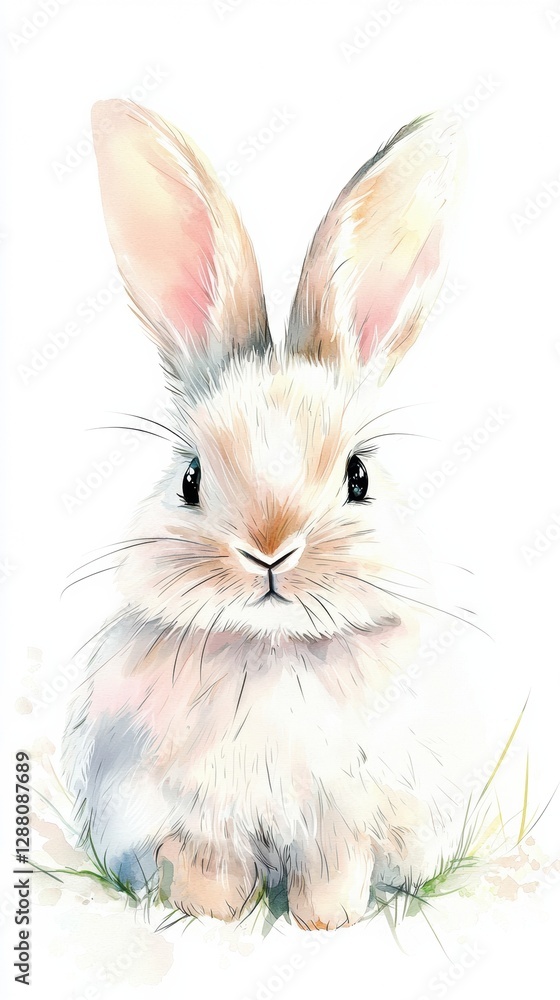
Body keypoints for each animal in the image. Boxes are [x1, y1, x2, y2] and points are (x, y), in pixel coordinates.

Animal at [63, 99, 468, 930]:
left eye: (358, 475)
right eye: (189, 477)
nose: (271, 547)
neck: (275, 650)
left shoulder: (347, 821)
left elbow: (334, 871)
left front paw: (326, 923)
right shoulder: (188, 818)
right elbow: (208, 866)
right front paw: (212, 916)